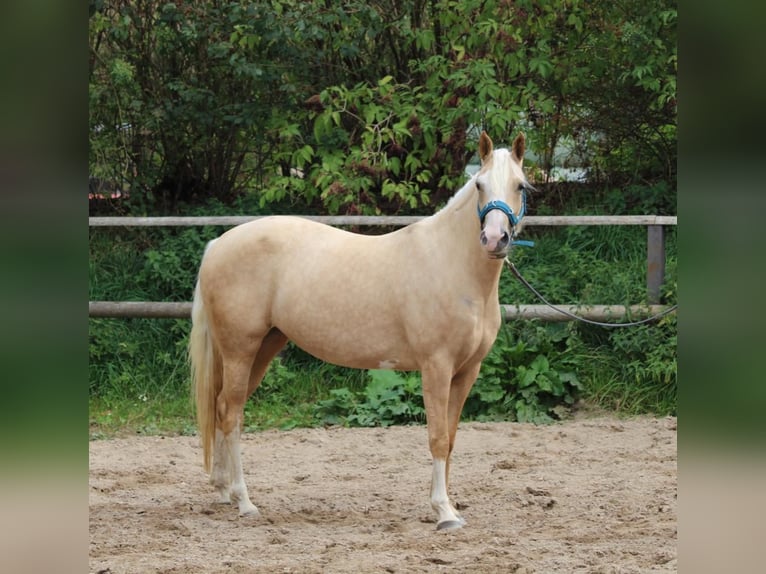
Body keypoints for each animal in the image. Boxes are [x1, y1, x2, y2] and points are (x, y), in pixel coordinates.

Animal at [189, 130, 532, 532]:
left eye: (521, 186)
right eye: (479, 184)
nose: (494, 239)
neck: (450, 264)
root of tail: (218, 244)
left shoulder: (467, 371)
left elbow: (450, 440)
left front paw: (449, 507)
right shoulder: (436, 367)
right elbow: (436, 437)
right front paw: (444, 513)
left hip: (263, 347)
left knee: (222, 406)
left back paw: (224, 491)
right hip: (240, 349)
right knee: (232, 414)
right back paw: (244, 501)